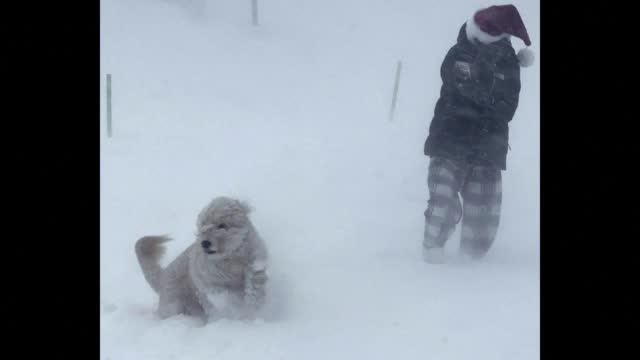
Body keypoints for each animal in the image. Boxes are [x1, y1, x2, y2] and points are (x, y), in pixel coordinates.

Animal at [135, 198, 268, 322]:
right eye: (202, 226)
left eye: (222, 225)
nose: (205, 243)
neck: (230, 258)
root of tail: (162, 276)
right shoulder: (209, 282)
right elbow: (224, 295)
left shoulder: (255, 263)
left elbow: (254, 283)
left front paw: (253, 301)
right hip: (173, 305)